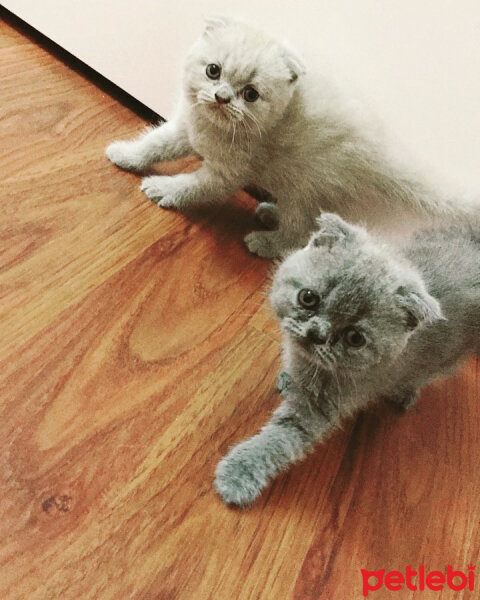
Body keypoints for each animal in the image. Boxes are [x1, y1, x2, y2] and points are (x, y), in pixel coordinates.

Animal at [105, 18, 472, 258]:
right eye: (213, 70)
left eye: (250, 94)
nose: (222, 97)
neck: (215, 128)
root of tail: (383, 151)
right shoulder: (185, 127)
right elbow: (154, 143)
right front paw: (125, 155)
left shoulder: (227, 174)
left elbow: (193, 185)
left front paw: (162, 189)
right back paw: (269, 212)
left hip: (306, 187)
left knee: (298, 233)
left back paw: (266, 243)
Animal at [215, 213, 480, 504]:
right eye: (308, 298)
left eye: (355, 338)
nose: (317, 333)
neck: (312, 364)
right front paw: (288, 378)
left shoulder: (319, 407)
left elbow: (279, 439)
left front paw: (239, 474)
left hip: (448, 357)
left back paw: (404, 393)